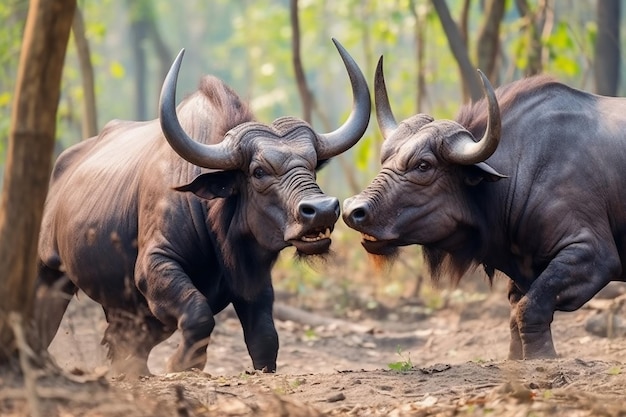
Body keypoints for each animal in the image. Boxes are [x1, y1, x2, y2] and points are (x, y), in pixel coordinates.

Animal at [35, 39, 370, 374]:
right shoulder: (154, 265)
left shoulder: (255, 281)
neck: (215, 227)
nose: (322, 209)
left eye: (312, 166)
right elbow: (198, 315)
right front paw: (180, 363)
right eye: (258, 171)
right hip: (48, 270)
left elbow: (265, 336)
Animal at [342, 57, 624, 360]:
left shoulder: (591, 255)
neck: (524, 167)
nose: (352, 211)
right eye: (385, 158)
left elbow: (529, 309)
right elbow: (515, 314)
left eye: (423, 165)